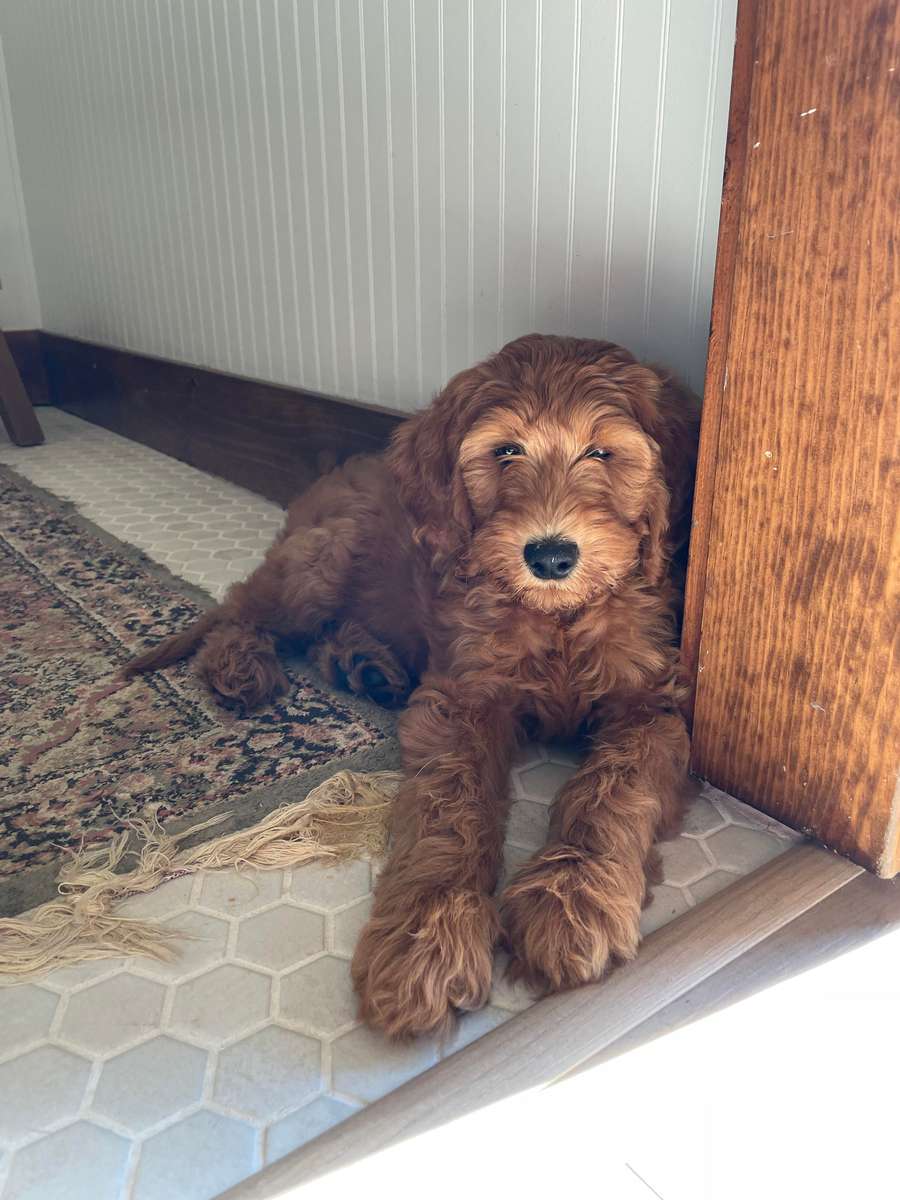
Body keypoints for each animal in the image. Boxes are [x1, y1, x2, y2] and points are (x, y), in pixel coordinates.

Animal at [124, 333, 700, 1039]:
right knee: (243, 610)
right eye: (506, 450)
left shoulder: (650, 702)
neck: (556, 617)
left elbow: (613, 788)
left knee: (317, 633)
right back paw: (240, 668)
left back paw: (364, 667)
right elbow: (447, 810)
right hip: (321, 563)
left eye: (601, 452)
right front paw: (428, 938)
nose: (551, 556)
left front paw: (572, 898)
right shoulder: (460, 699)